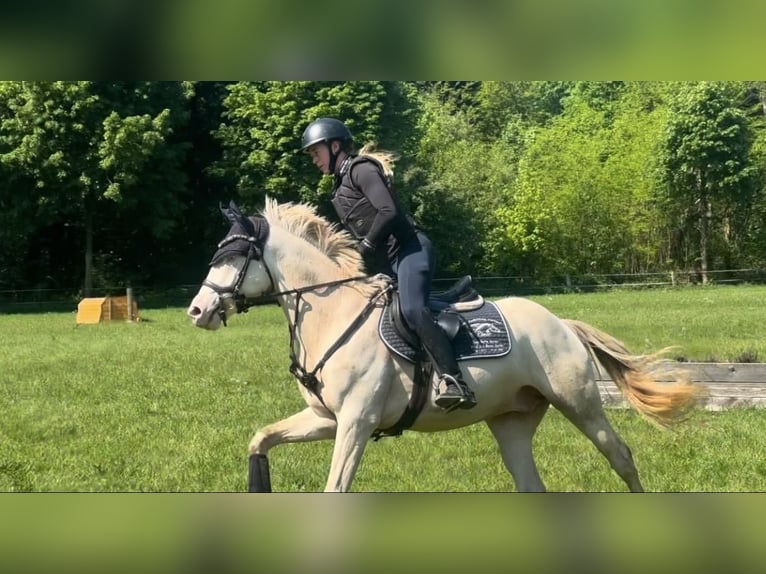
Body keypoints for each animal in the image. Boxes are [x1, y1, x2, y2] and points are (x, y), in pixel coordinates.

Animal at [187, 198, 702, 492]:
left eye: (232, 255)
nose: (196, 311)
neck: (331, 313)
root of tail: (560, 322)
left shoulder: (355, 423)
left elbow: (335, 488)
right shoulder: (325, 419)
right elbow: (261, 439)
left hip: (579, 403)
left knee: (621, 457)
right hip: (511, 421)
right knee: (532, 484)